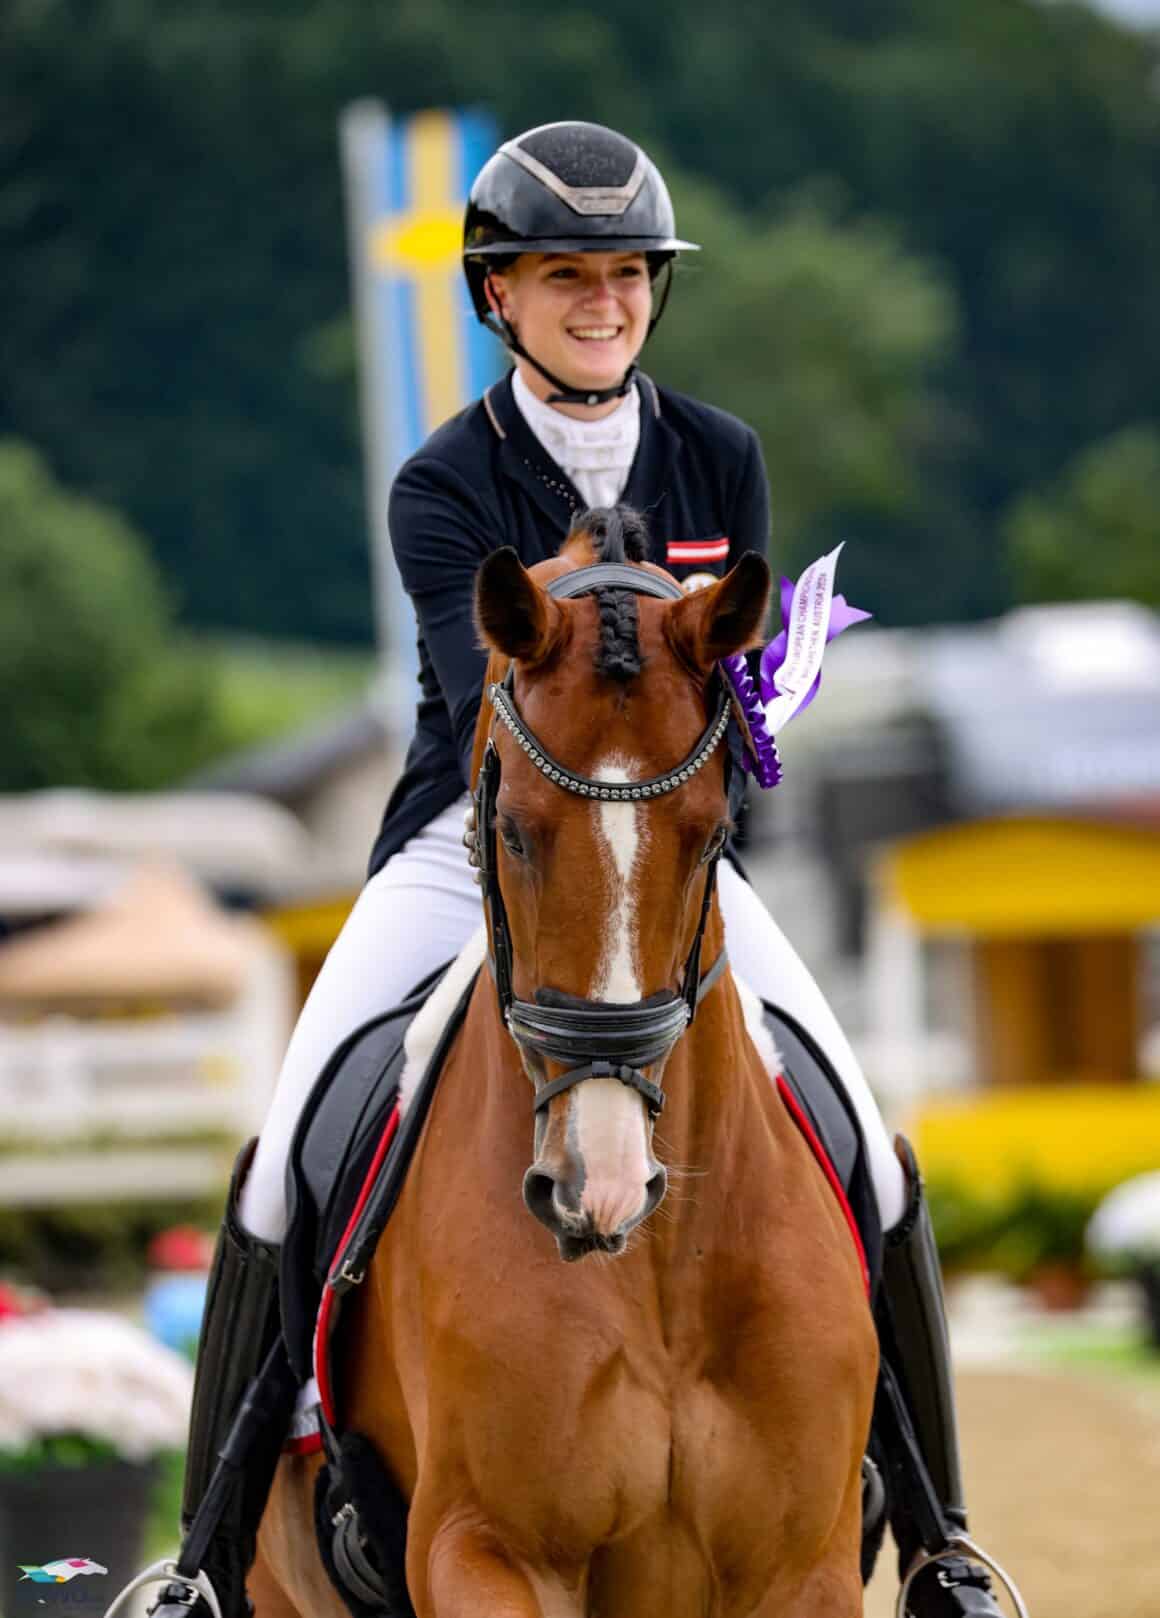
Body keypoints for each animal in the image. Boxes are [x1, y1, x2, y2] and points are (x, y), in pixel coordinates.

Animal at [249, 517, 873, 1618]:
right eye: (510, 831)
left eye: (712, 834)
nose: (599, 1184)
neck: (657, 1272)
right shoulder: (483, 1546)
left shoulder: (803, 1570)